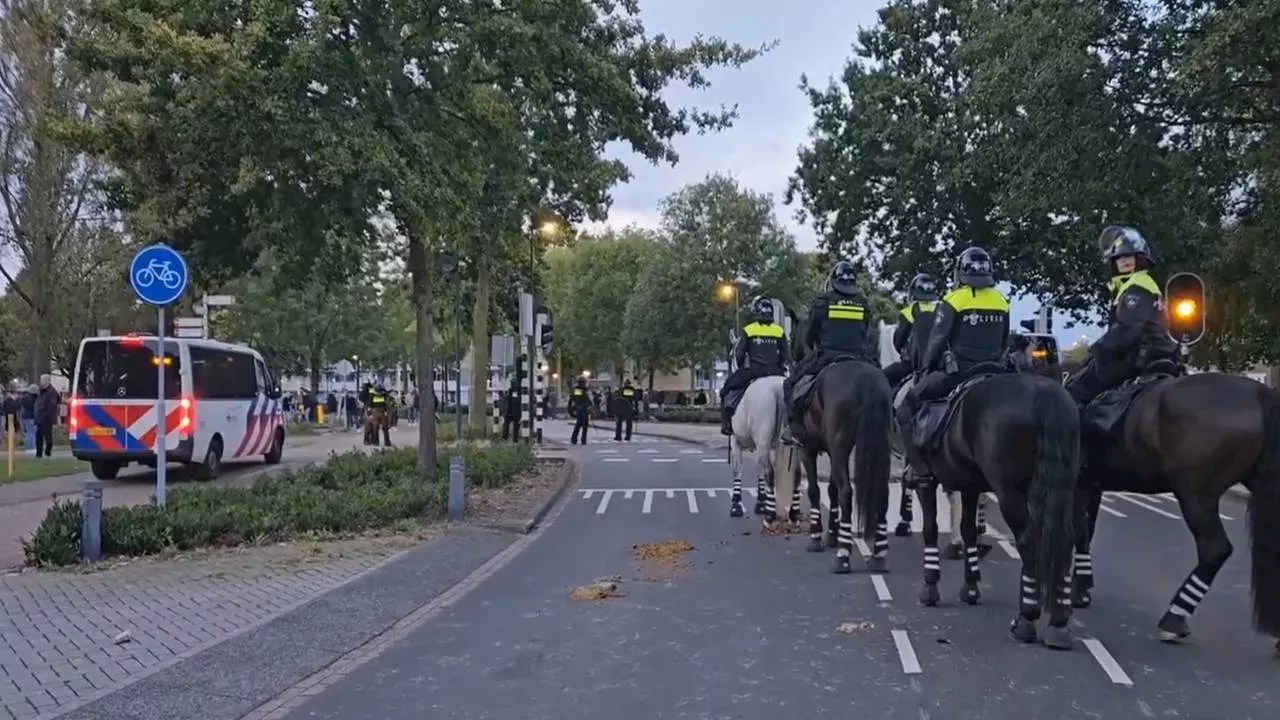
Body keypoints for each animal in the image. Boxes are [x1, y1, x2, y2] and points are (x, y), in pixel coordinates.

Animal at [732, 368, 788, 520]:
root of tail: (777, 387)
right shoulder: (758, 445)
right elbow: (758, 470)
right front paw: (761, 503)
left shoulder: (735, 440)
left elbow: (737, 470)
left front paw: (736, 505)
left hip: (763, 441)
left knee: (770, 472)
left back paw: (770, 512)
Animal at [788, 319, 890, 571]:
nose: (793, 356)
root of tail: (866, 379)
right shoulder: (833, 453)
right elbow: (831, 489)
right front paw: (832, 535)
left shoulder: (808, 449)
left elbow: (815, 490)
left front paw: (817, 538)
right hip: (878, 447)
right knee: (881, 492)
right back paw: (878, 554)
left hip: (840, 446)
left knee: (847, 492)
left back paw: (843, 555)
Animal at [906, 366, 1085, 648]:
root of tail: (1046, 395)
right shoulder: (969, 485)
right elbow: (968, 530)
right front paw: (970, 587)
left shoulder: (927, 482)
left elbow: (930, 529)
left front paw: (930, 587)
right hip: (1063, 488)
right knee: (1064, 542)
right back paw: (1058, 622)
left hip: (1009, 492)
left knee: (1028, 541)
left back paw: (1025, 619)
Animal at [1064, 368, 1280, 650]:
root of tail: (1261, 393)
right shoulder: (1091, 484)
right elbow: (1086, 532)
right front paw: (1082, 587)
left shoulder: (1079, 482)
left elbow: (1078, 531)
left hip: (1196, 494)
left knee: (1214, 550)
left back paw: (1174, 619)